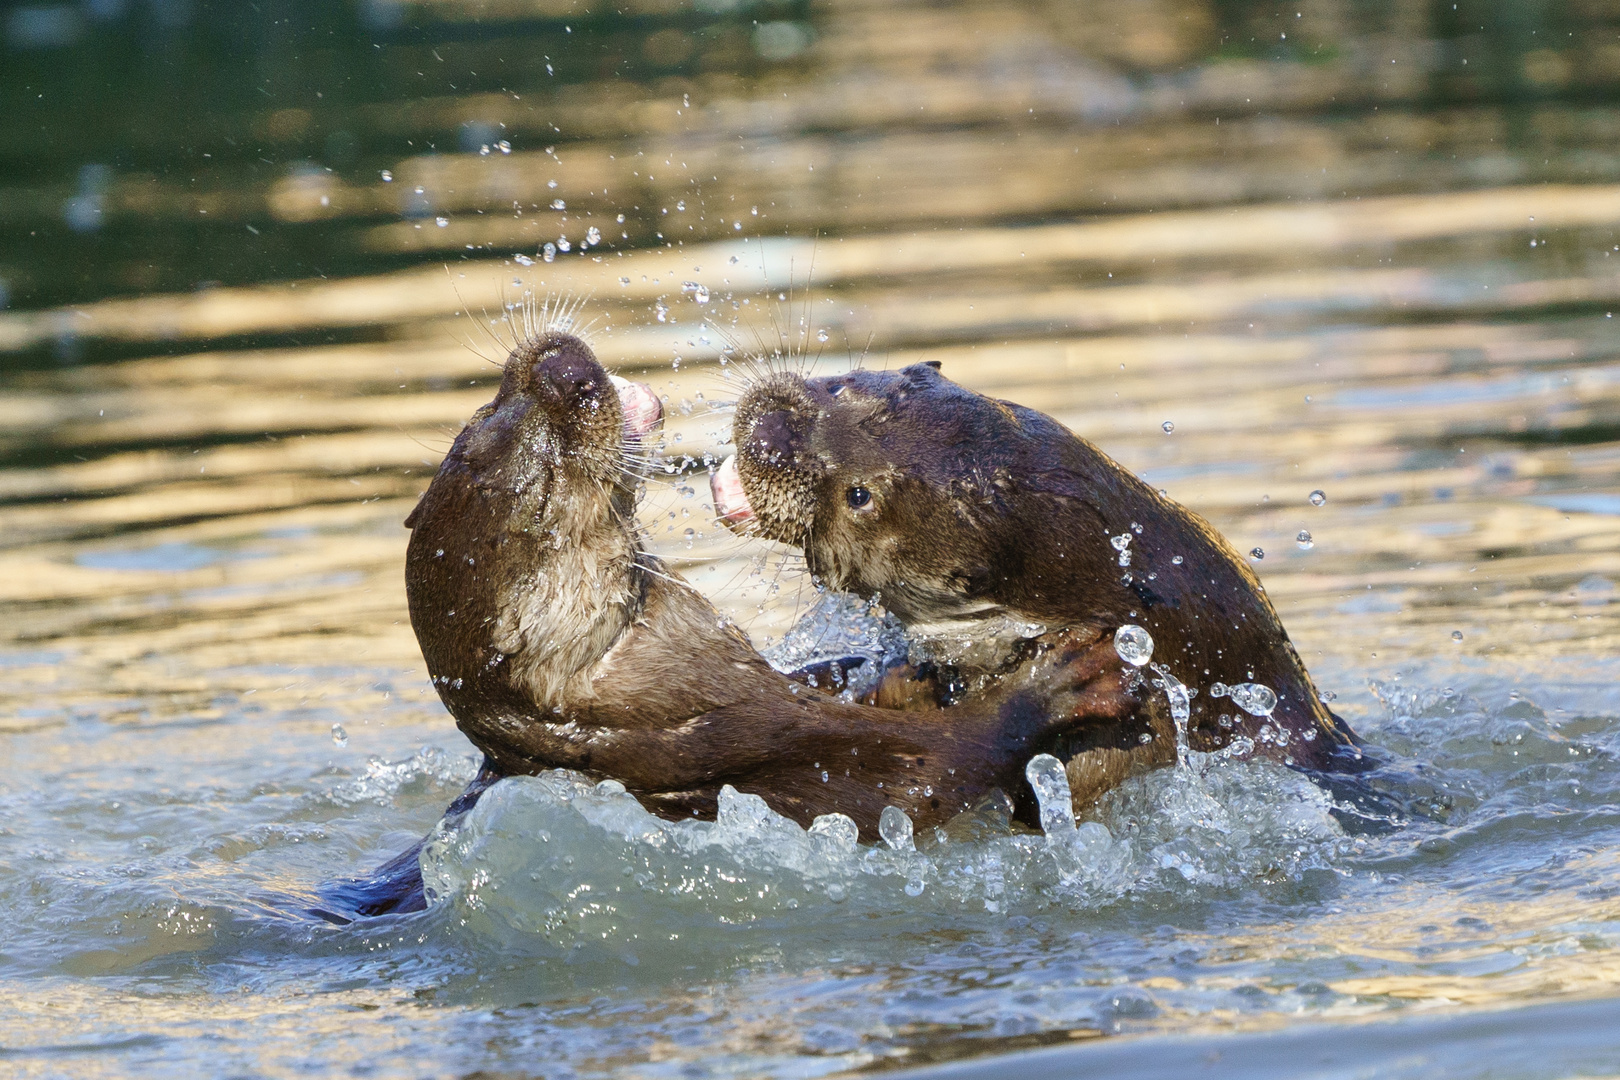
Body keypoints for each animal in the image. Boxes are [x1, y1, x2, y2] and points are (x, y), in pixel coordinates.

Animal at [322, 331, 1140, 919]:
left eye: (481, 417)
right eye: (549, 488)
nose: (561, 370)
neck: (662, 706)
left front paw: (885, 672)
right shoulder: (767, 750)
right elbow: (938, 771)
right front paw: (1063, 682)